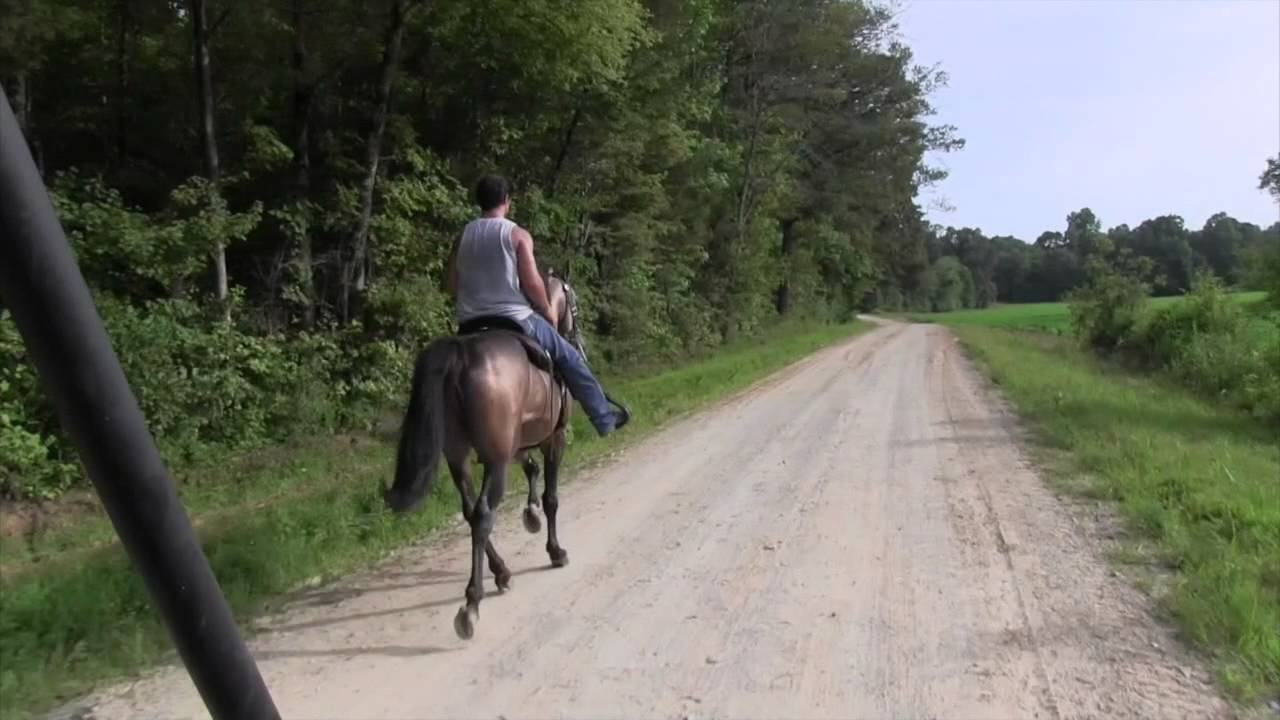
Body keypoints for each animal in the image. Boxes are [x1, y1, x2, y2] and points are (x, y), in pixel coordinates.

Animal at [384, 273, 585, 640]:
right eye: (573, 305)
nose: (576, 339)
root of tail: (460, 354)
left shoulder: (517, 445)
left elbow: (532, 470)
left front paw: (530, 514)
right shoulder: (554, 439)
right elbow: (551, 497)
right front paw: (555, 550)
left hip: (460, 457)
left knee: (470, 512)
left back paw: (501, 572)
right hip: (495, 459)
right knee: (482, 514)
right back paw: (472, 603)